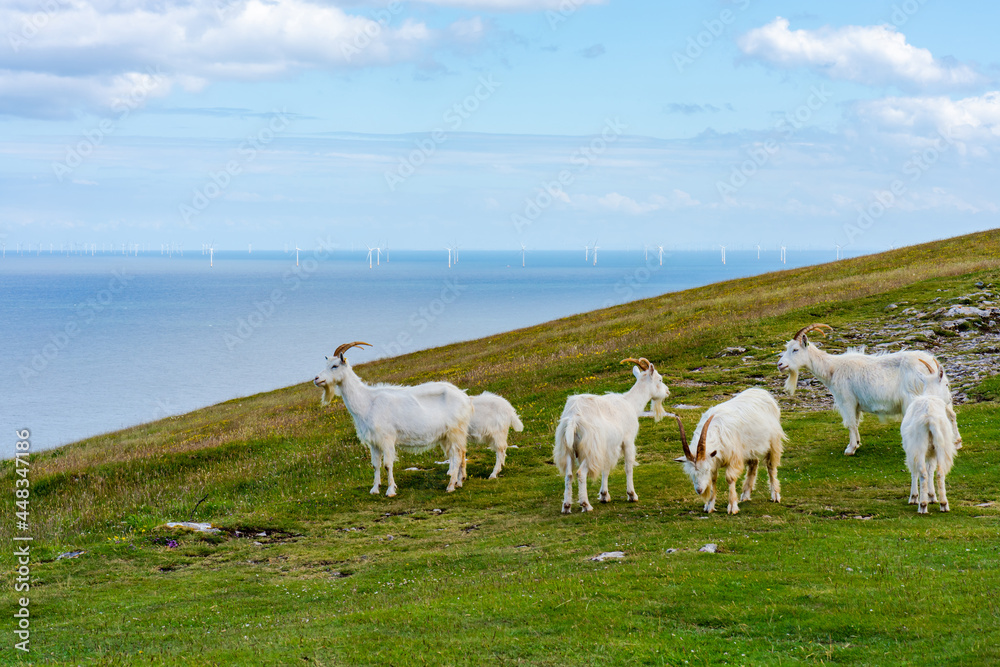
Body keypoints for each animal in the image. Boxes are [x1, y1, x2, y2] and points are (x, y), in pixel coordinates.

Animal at [313, 342, 473, 496]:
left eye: (335, 366)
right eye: (326, 364)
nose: (316, 379)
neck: (367, 401)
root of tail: (464, 397)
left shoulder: (387, 438)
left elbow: (387, 465)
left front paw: (390, 490)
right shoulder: (374, 442)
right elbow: (375, 465)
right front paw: (375, 489)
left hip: (455, 431)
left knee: (457, 455)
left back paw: (451, 486)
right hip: (448, 435)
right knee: (460, 453)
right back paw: (459, 481)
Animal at [553, 357, 669, 513]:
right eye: (660, 379)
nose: (668, 391)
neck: (630, 403)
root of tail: (573, 419)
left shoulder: (608, 447)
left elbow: (606, 469)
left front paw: (604, 495)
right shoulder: (627, 440)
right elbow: (628, 467)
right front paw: (632, 495)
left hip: (567, 447)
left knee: (569, 474)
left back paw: (566, 506)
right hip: (590, 449)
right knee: (580, 473)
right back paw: (585, 504)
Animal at [777, 323, 959, 455]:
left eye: (795, 349)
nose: (780, 364)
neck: (832, 368)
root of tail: (931, 365)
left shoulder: (847, 400)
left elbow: (850, 423)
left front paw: (850, 449)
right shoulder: (856, 404)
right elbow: (856, 423)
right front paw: (857, 443)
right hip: (942, 396)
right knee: (951, 414)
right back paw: (956, 442)